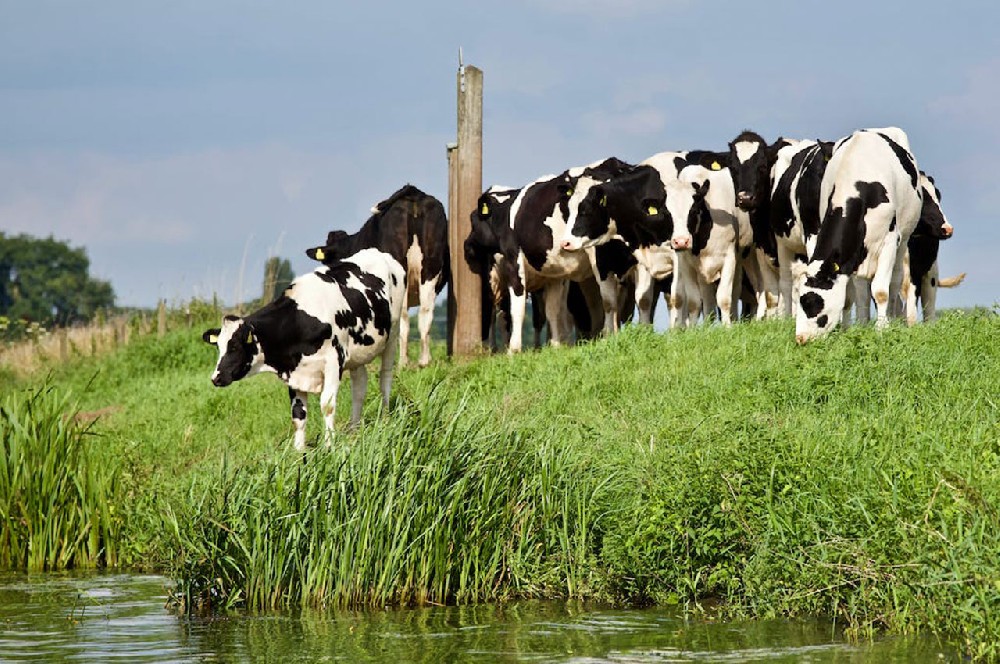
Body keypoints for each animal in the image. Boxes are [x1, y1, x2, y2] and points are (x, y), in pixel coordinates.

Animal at [203, 248, 406, 452]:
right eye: (219, 346)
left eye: (235, 346)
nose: (216, 378)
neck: (301, 320)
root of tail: (376, 251)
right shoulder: (294, 371)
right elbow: (298, 414)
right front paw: (299, 451)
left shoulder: (334, 361)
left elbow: (327, 405)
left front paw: (329, 446)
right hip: (358, 355)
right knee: (359, 387)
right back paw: (353, 429)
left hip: (393, 333)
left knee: (385, 378)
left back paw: (386, 418)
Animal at [302, 184, 448, 366]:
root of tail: (414, 192)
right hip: (430, 269)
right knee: (425, 313)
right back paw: (424, 361)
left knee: (403, 317)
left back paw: (403, 362)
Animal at [792, 126, 924, 342]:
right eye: (801, 299)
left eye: (813, 302)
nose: (801, 338)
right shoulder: (851, 256)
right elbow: (849, 297)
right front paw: (849, 329)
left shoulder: (889, 241)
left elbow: (881, 291)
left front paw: (882, 329)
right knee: (862, 289)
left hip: (903, 239)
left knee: (895, 281)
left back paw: (892, 317)